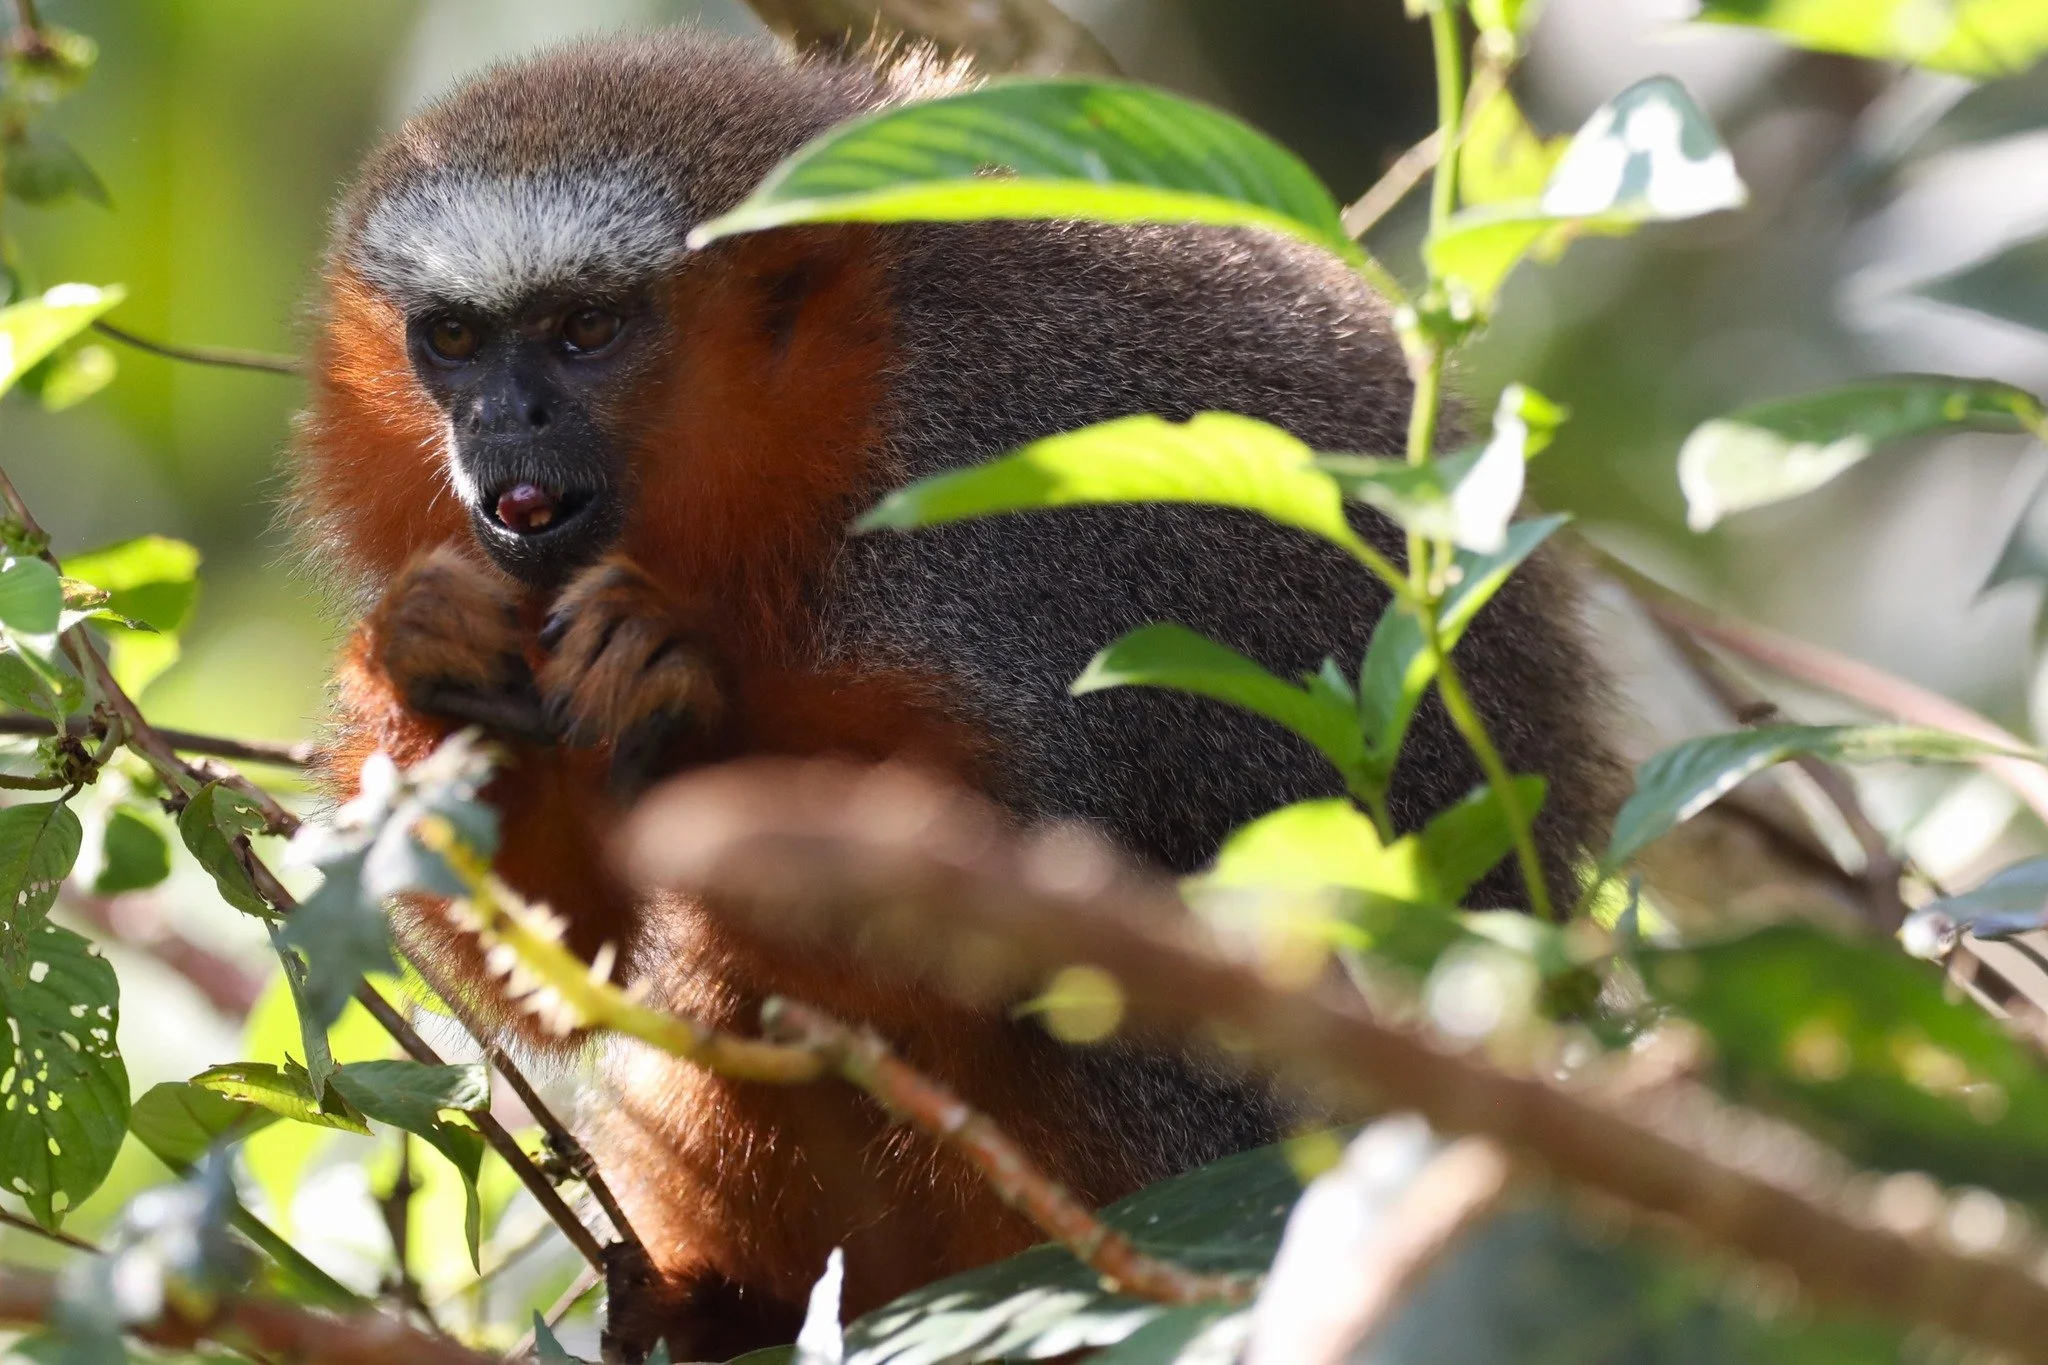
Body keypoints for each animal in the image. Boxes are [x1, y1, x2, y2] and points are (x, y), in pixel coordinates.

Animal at [293, 28, 1623, 1361]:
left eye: (584, 330)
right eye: (453, 340)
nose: (501, 418)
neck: (823, 453)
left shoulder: (1008, 516)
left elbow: (1034, 912)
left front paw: (685, 684)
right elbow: (581, 967)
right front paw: (427, 659)